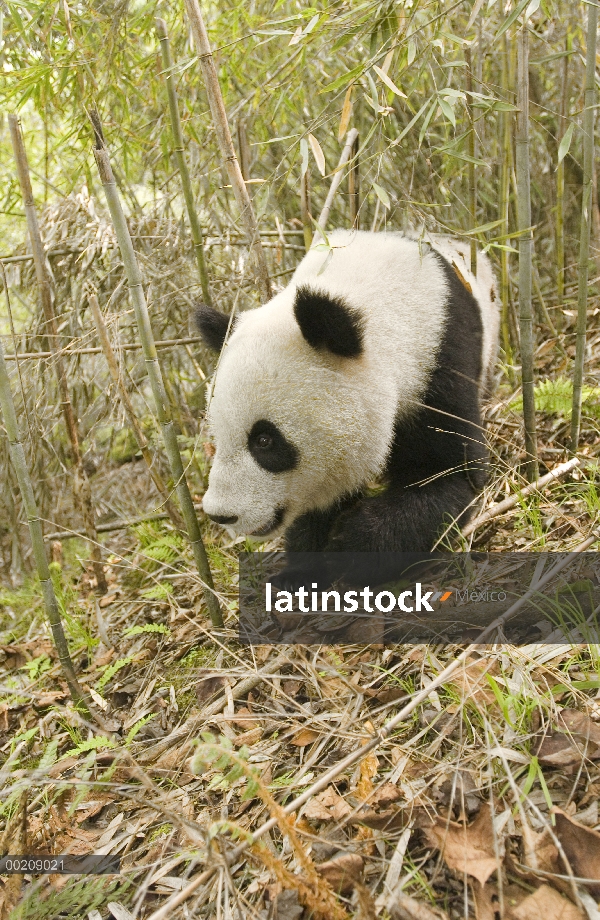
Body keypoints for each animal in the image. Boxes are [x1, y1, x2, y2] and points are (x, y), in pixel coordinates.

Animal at [195, 230, 500, 560]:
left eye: (264, 440)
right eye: (218, 436)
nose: (221, 514)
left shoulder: (438, 362)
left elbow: (448, 472)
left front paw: (351, 543)